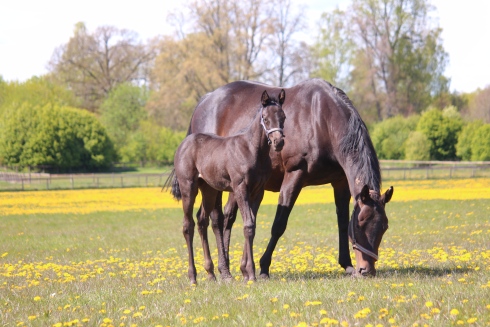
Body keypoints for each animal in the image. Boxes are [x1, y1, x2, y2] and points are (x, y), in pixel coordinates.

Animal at [172, 89, 288, 284]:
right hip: (189, 186)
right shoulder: (240, 188)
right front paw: (250, 273)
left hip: (209, 189)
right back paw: (193, 277)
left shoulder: (257, 192)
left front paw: (246, 272)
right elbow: (247, 224)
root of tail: (184, 143)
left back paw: (211, 274)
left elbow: (252, 225)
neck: (252, 149)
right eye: (265, 118)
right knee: (188, 225)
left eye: (283, 117)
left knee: (202, 220)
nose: (278, 142)